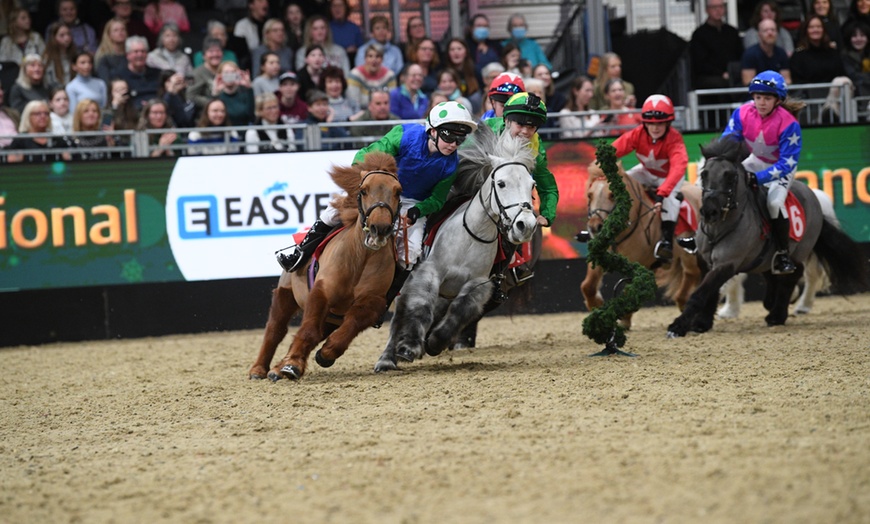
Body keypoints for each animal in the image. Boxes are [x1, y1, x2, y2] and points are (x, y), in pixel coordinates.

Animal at [250, 151, 404, 380]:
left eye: (397, 191)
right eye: (364, 190)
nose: (380, 228)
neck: (359, 260)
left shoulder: (373, 303)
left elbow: (346, 329)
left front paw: (325, 354)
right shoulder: (321, 292)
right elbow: (307, 331)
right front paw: (292, 364)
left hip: (331, 318)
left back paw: (278, 367)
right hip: (285, 295)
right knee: (275, 330)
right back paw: (260, 369)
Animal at [584, 162, 704, 330]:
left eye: (612, 194)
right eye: (590, 195)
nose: (595, 227)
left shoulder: (640, 264)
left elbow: (629, 292)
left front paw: (624, 318)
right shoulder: (600, 258)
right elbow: (588, 285)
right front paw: (596, 306)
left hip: (688, 254)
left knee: (692, 273)